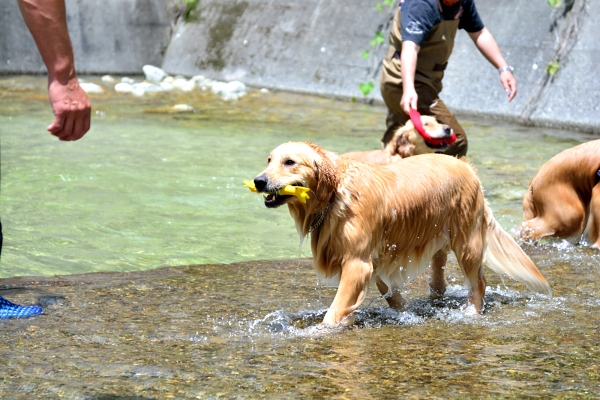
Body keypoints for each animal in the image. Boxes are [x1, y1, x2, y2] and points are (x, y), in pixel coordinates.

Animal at [251, 141, 552, 324]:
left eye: (289, 162)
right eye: (269, 160)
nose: (259, 180)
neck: (335, 194)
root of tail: (465, 164)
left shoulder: (357, 263)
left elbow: (337, 309)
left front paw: (320, 330)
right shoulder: (375, 260)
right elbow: (388, 292)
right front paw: (405, 313)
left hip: (467, 241)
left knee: (479, 281)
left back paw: (471, 311)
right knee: (438, 275)